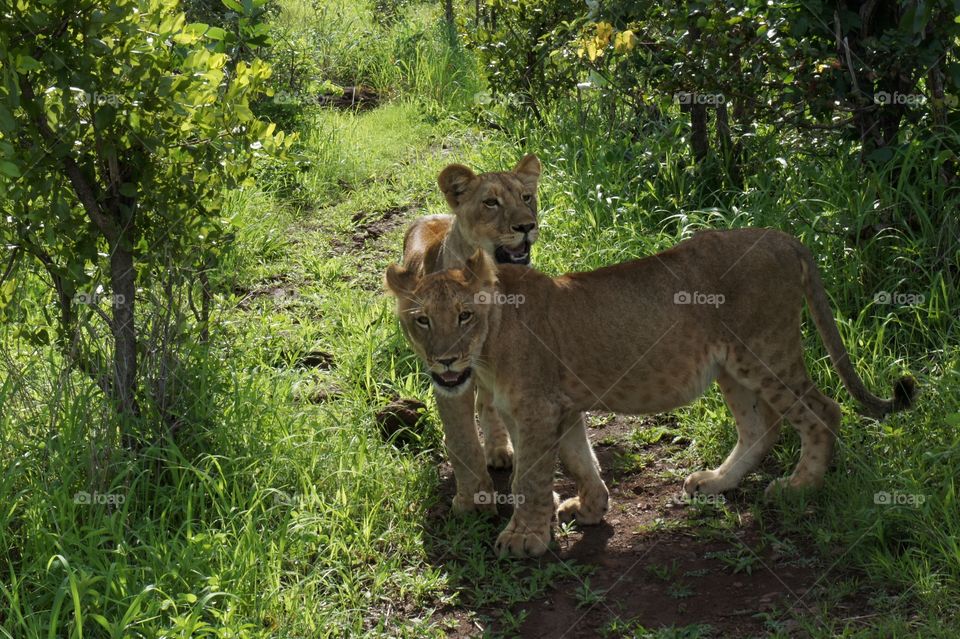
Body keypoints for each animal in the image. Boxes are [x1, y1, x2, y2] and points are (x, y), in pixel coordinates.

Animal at [385, 228, 916, 558]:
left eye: (464, 316)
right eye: (421, 320)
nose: (445, 361)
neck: (489, 344)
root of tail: (781, 237)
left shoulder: (536, 410)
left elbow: (530, 478)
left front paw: (525, 537)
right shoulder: (561, 407)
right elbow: (579, 458)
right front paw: (590, 509)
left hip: (765, 350)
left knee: (823, 410)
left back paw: (799, 486)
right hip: (731, 367)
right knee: (761, 428)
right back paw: (716, 482)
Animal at [398, 154, 541, 512]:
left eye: (527, 197)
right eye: (491, 203)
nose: (526, 226)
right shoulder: (449, 378)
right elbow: (462, 439)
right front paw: (473, 501)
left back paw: (500, 449)